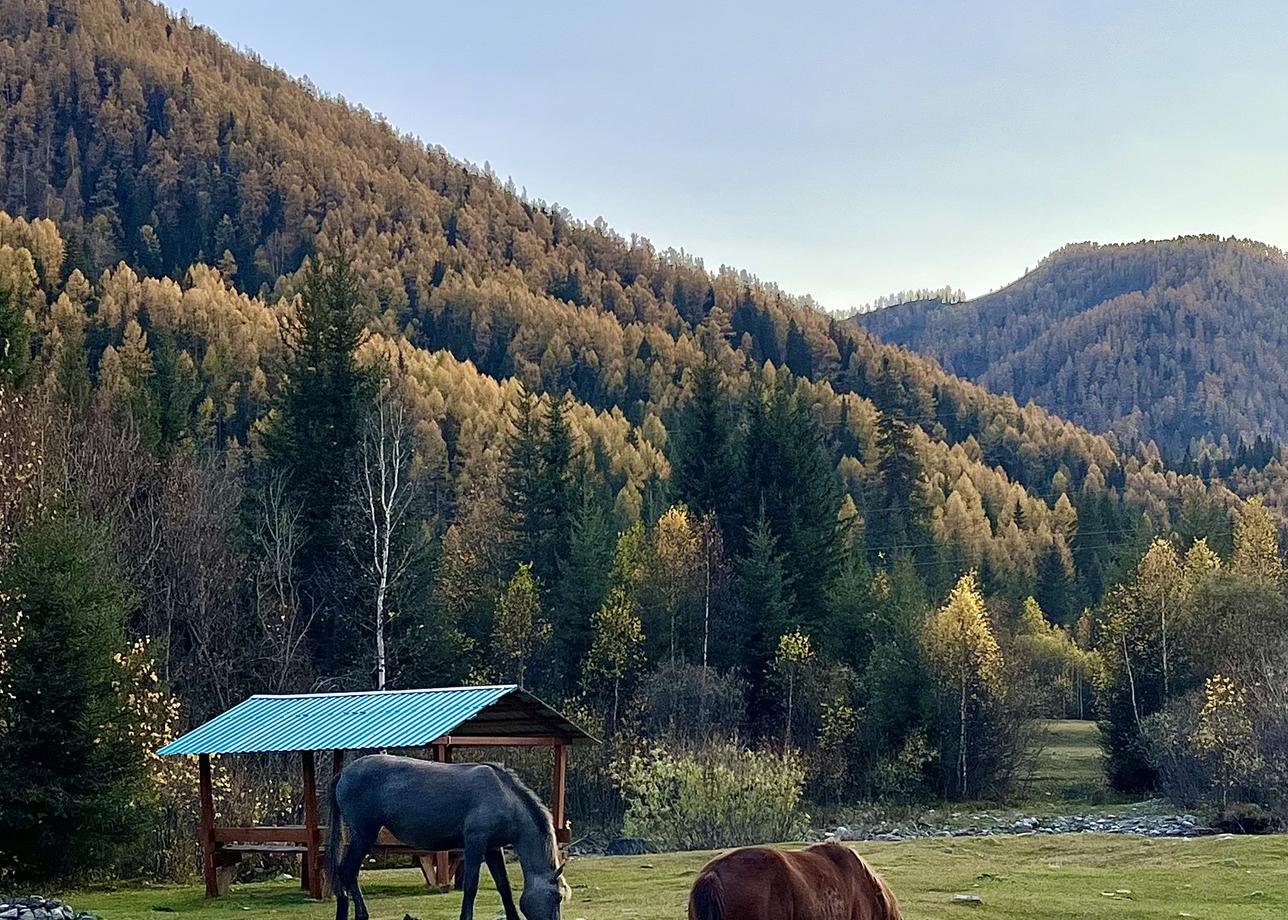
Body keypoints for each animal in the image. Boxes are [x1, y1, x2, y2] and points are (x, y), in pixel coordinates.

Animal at [329, 752, 571, 917]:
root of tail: (344, 773)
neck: (505, 797)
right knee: (348, 872)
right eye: (556, 896)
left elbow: (504, 887)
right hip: (363, 836)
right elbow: (470, 887)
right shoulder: (475, 843)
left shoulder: (493, 848)